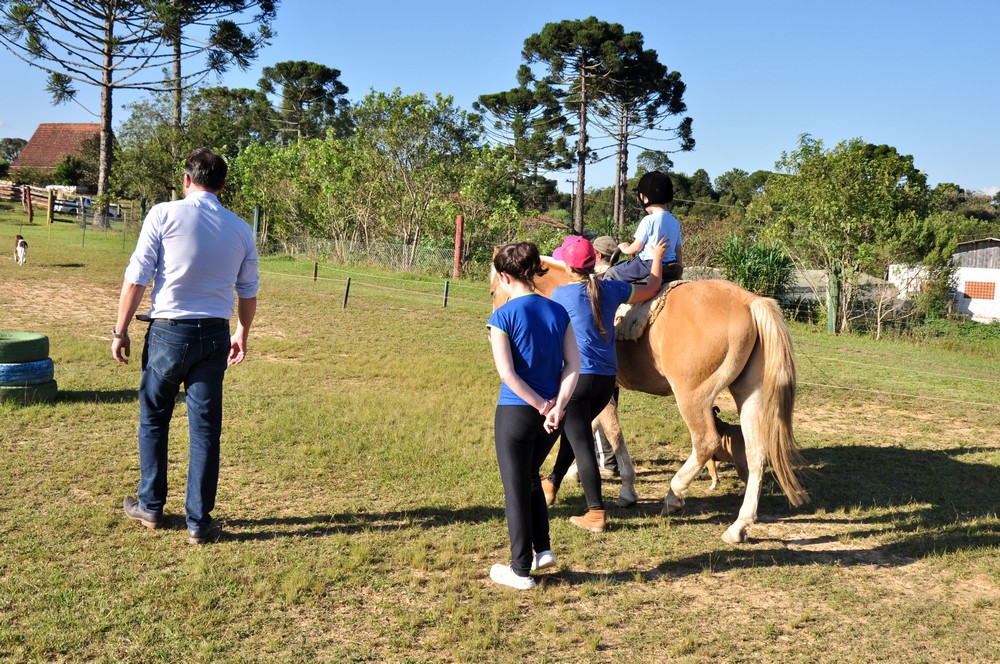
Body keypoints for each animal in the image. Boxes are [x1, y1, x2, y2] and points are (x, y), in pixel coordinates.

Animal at [488, 256, 808, 544]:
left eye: (492, 291)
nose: (492, 332)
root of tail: (749, 302)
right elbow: (590, 430)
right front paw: (573, 473)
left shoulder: (599, 389)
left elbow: (611, 433)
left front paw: (626, 490)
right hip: (749, 394)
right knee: (756, 454)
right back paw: (739, 526)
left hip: (692, 397)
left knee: (706, 442)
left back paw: (675, 495)